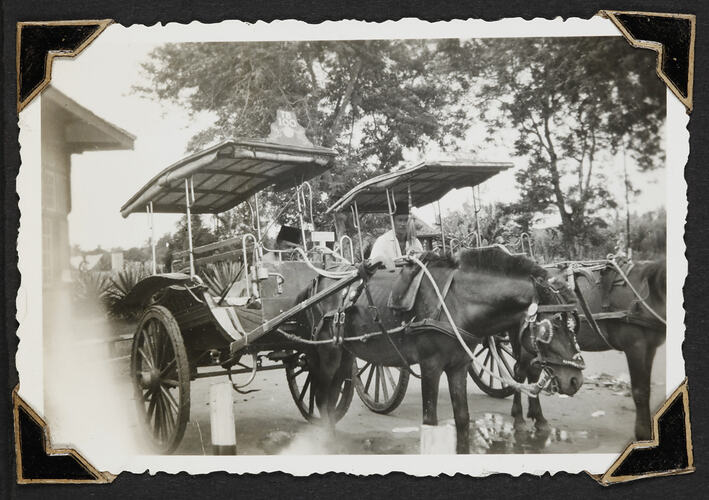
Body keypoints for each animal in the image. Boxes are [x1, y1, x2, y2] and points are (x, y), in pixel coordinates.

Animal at [296, 248, 584, 456]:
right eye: (552, 326)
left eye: (574, 323)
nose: (576, 379)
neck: (455, 303)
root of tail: (318, 281)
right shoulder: (431, 366)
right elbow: (430, 420)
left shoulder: (459, 366)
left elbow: (463, 419)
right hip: (327, 351)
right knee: (321, 395)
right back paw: (327, 443)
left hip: (345, 353)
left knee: (332, 396)